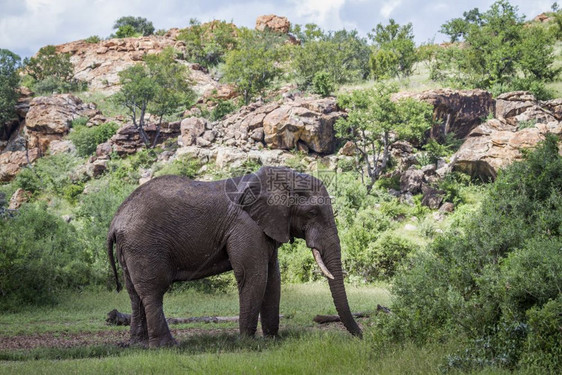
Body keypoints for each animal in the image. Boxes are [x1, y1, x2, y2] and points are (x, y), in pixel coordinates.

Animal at [107, 166, 360, 348]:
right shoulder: (245, 225)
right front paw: (248, 343)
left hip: (131, 248)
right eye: (312, 212)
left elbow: (272, 278)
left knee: (134, 293)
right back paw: (167, 346)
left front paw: (272, 340)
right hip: (145, 245)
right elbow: (254, 275)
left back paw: (137, 345)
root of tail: (116, 220)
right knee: (153, 291)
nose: (362, 335)